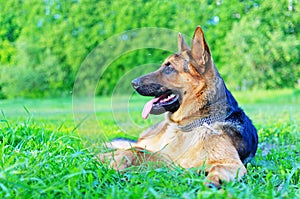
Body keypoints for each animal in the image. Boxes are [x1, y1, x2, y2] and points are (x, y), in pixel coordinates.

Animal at [99, 26, 258, 187]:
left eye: (169, 68)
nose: (133, 83)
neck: (195, 123)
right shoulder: (165, 156)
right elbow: (134, 151)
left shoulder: (230, 164)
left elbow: (219, 169)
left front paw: (212, 182)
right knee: (131, 146)